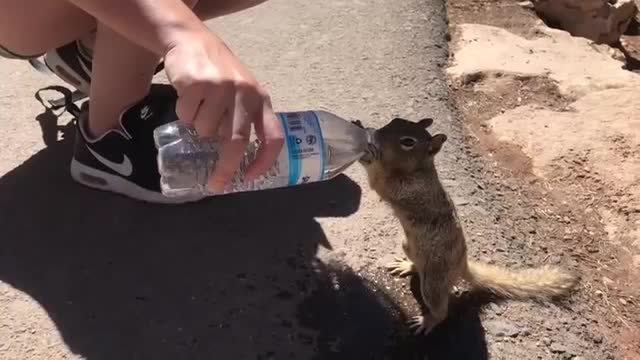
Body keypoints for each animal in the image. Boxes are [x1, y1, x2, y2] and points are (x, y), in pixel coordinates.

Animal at [350, 116, 580, 336]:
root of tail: (461, 264)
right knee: (417, 265)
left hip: (433, 282)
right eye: (395, 121)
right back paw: (407, 266)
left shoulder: (405, 189)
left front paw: (367, 151)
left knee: (441, 309)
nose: (376, 135)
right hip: (408, 246)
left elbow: (378, 180)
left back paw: (428, 321)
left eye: (408, 142)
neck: (418, 169)